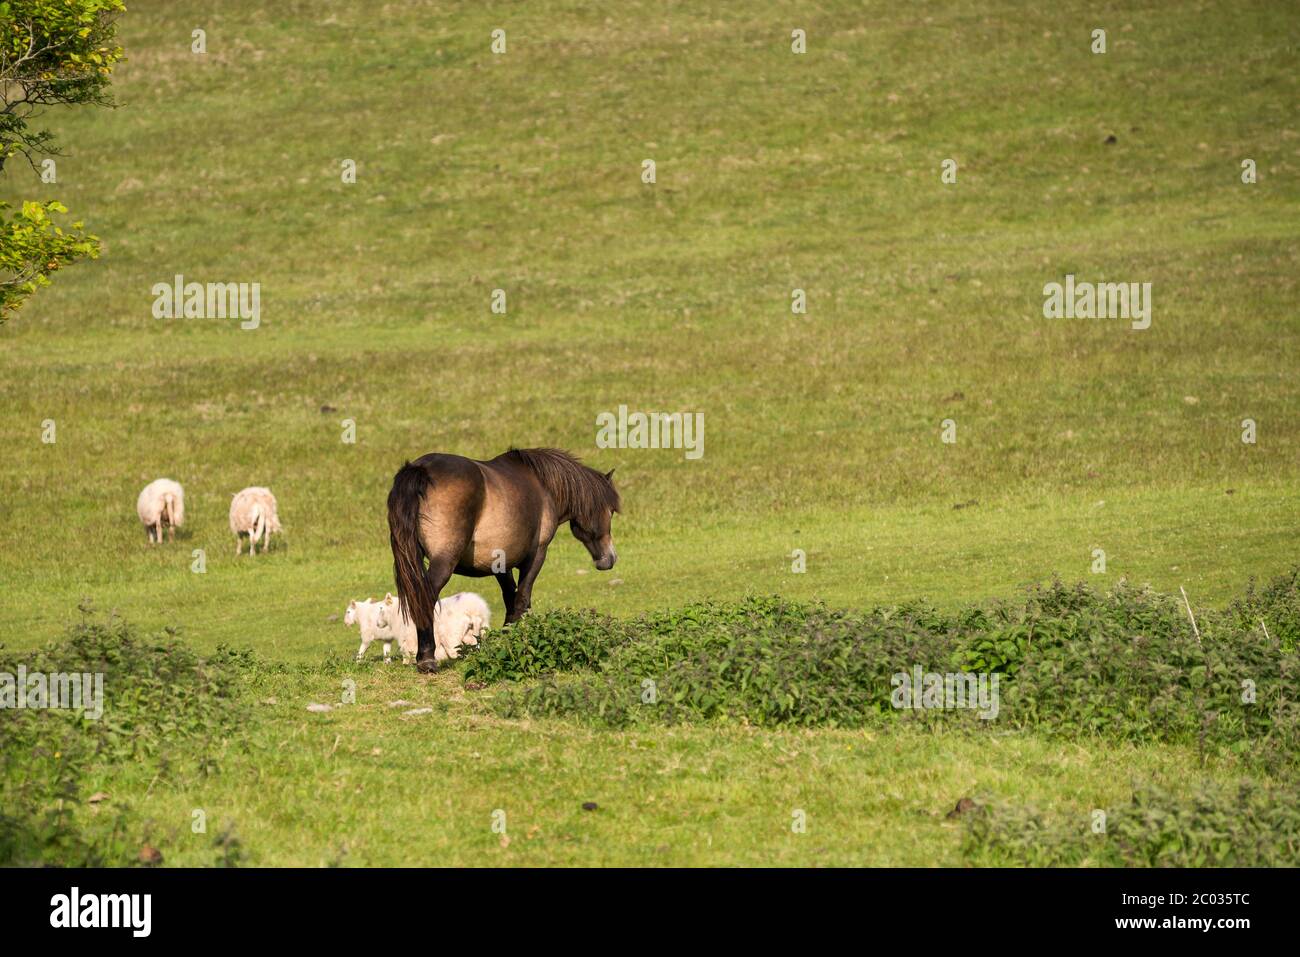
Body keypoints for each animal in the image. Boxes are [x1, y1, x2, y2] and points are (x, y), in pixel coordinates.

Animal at [386, 447, 620, 672]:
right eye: (610, 511)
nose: (609, 559)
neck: (542, 486)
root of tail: (420, 468)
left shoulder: (501, 563)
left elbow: (510, 599)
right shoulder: (537, 555)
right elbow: (522, 599)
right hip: (443, 562)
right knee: (426, 598)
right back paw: (427, 659)